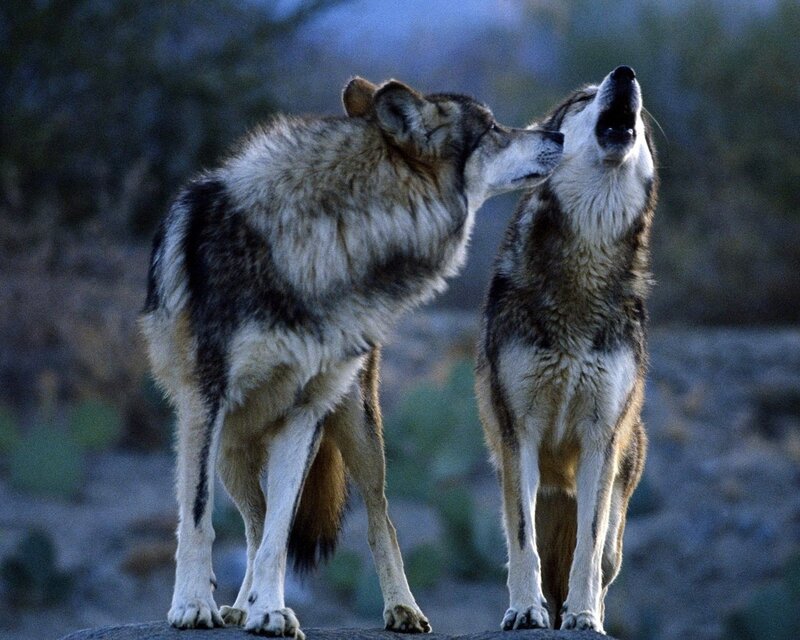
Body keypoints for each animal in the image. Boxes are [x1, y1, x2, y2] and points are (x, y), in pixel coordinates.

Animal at [140, 76, 563, 637]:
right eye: (493, 129)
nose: (558, 135)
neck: (333, 236)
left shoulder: (302, 414)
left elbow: (280, 534)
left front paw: (270, 610)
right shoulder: (203, 402)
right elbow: (198, 518)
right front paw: (193, 605)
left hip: (356, 429)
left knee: (376, 519)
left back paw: (400, 609)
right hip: (230, 446)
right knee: (250, 521)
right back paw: (236, 605)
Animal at [475, 65, 657, 633]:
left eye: (642, 114)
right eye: (581, 99)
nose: (626, 73)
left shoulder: (602, 437)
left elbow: (588, 544)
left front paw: (583, 616)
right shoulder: (519, 433)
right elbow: (523, 541)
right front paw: (524, 609)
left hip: (620, 497)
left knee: (603, 558)